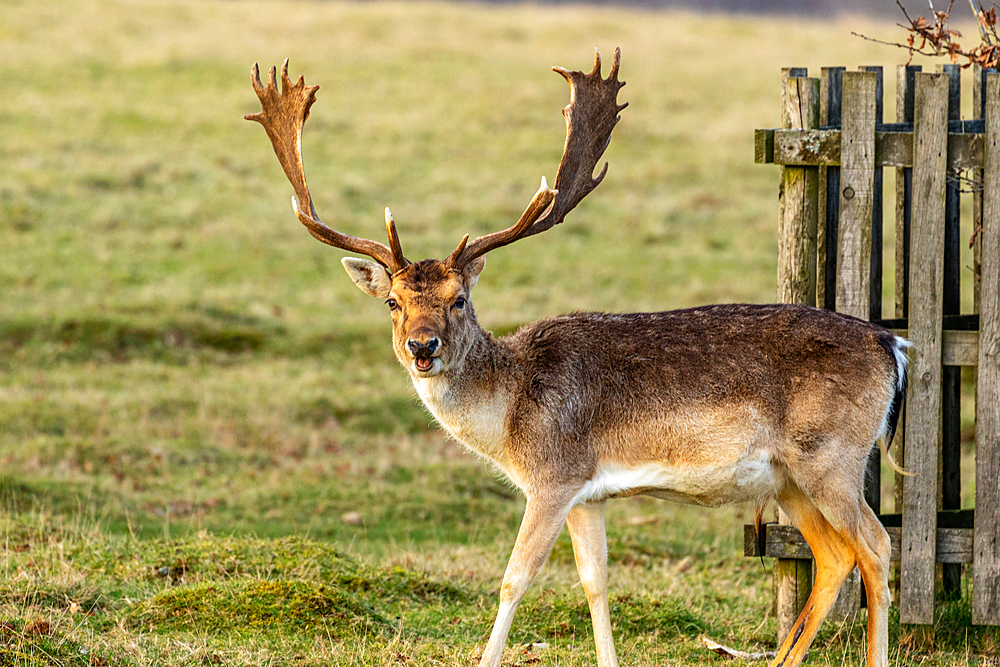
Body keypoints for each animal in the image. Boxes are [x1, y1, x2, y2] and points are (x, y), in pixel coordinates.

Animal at [248, 51, 908, 667]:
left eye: (459, 299)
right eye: (392, 301)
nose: (422, 347)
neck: (509, 417)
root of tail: (894, 346)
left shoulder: (553, 475)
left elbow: (514, 580)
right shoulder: (588, 494)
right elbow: (595, 583)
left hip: (832, 455)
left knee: (876, 546)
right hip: (790, 476)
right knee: (834, 555)